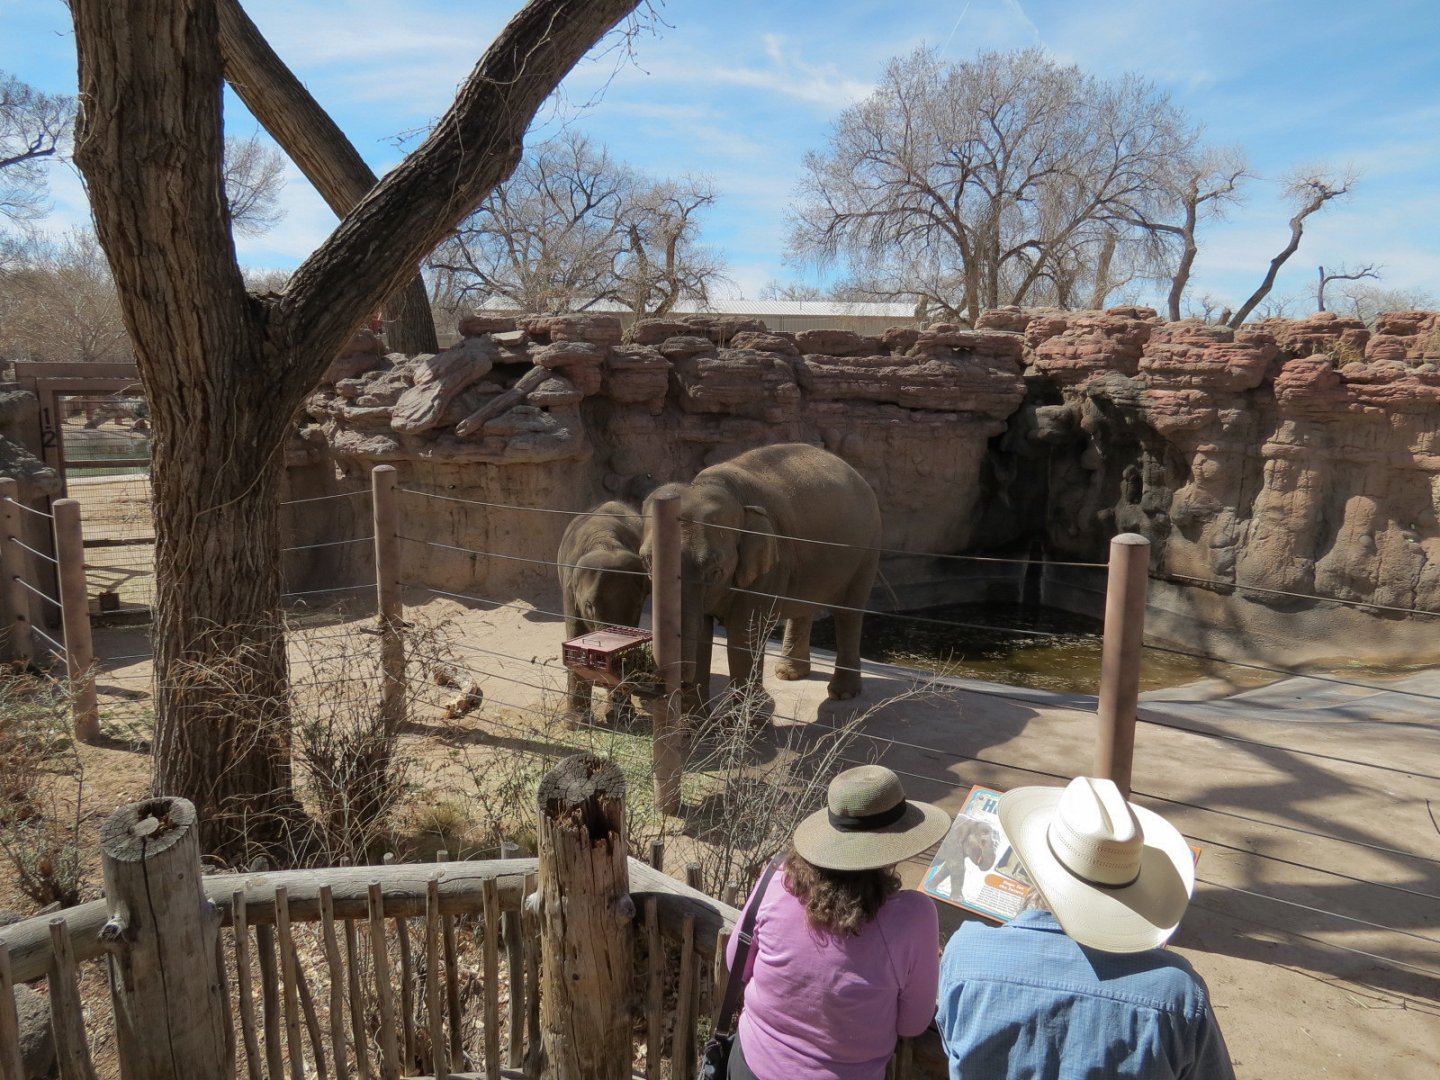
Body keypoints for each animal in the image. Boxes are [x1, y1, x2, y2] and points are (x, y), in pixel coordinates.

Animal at [558, 500, 649, 719]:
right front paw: (575, 721)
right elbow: (575, 637)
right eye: (589, 606)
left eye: (637, 605)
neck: (605, 542)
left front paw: (622, 717)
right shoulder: (569, 589)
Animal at [641, 443, 881, 715]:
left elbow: (743, 632)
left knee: (848, 612)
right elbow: (702, 631)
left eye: (716, 571)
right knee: (804, 605)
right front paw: (695, 719)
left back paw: (842, 693)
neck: (717, 485)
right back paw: (789, 674)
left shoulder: (769, 567)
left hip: (868, 548)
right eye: (647, 562)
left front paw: (745, 719)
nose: (664, 685)